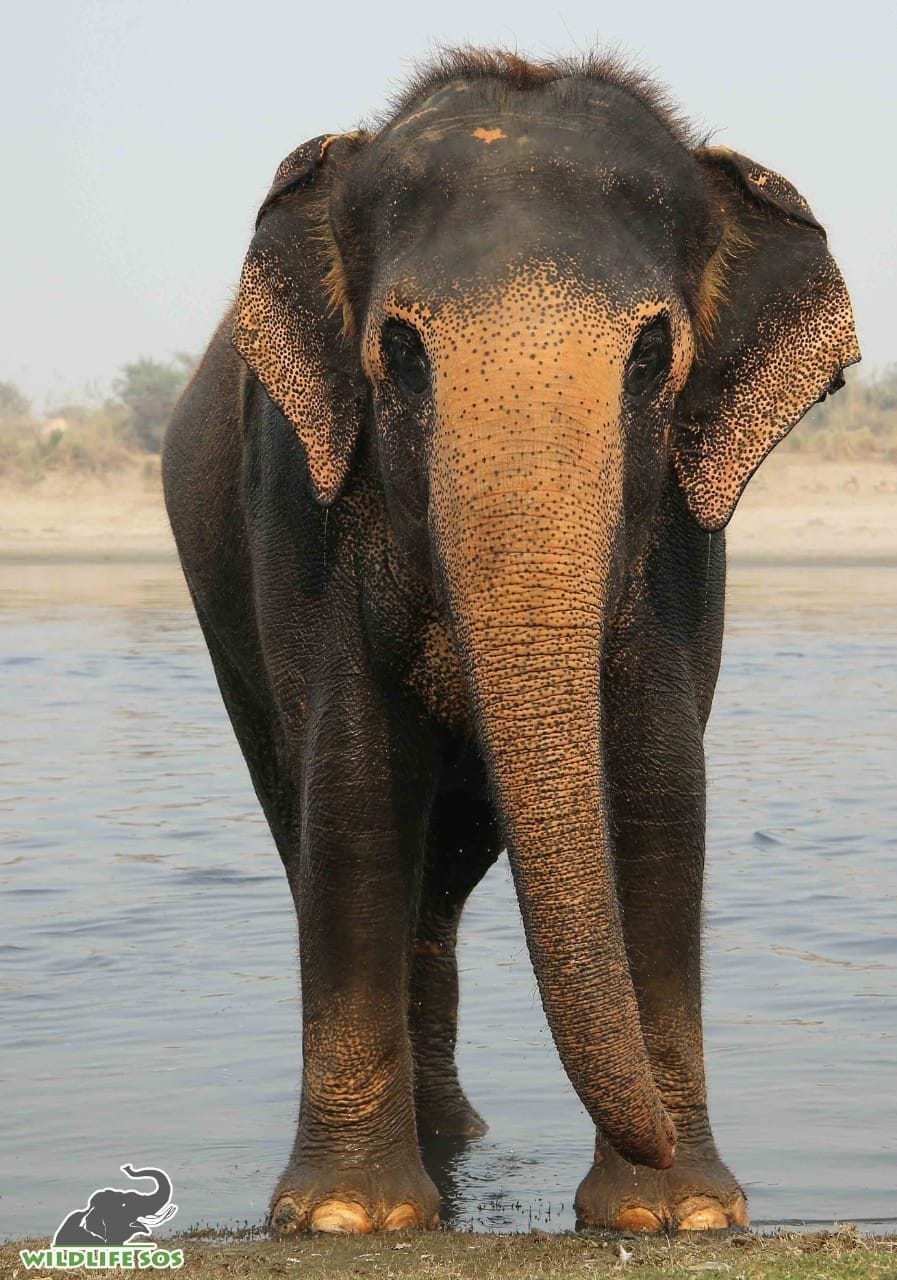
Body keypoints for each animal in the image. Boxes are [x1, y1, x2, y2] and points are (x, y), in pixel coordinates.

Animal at [162, 48, 859, 1236]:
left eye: (650, 356)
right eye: (400, 353)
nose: (653, 1128)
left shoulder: (684, 534)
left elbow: (659, 779)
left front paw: (678, 1214)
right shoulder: (295, 498)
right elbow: (353, 776)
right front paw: (348, 1219)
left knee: (440, 884)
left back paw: (461, 1140)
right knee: (319, 828)